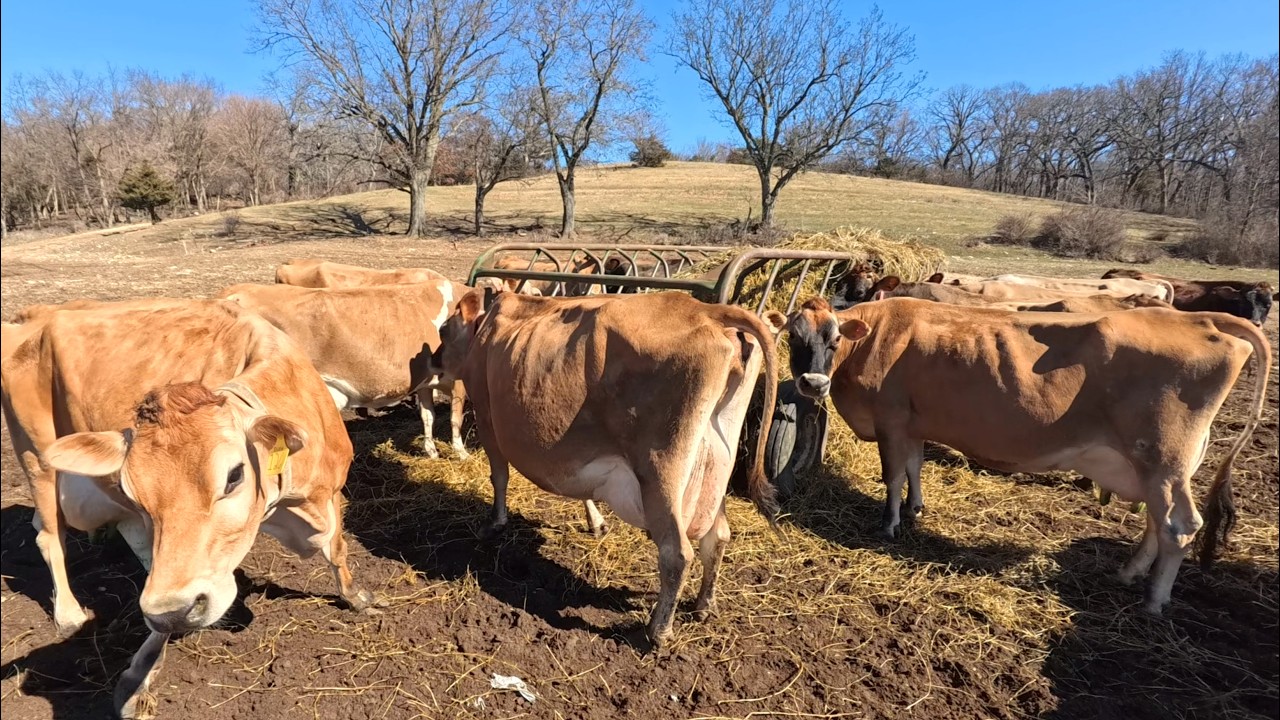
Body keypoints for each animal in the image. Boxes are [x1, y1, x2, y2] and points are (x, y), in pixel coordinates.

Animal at [1, 298, 377, 718]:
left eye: (234, 476)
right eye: (134, 492)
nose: (173, 612)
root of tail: (33, 315)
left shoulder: (332, 490)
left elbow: (337, 548)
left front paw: (356, 597)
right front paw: (139, 677)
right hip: (35, 456)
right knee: (49, 536)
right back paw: (68, 615)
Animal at [217, 280, 471, 459]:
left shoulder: (426, 382)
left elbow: (428, 416)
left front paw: (432, 451)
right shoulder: (459, 381)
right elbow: (455, 419)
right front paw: (462, 453)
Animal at [428, 290, 783, 646]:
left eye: (444, 330)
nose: (433, 361)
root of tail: (707, 311)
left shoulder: (487, 416)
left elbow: (499, 477)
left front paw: (494, 524)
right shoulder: (575, 452)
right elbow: (582, 488)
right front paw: (596, 522)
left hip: (661, 470)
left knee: (677, 552)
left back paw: (658, 630)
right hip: (716, 468)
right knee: (718, 537)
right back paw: (703, 606)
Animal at [775, 296, 1270, 616]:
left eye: (834, 339)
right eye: (792, 338)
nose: (812, 383)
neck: (880, 335)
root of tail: (1201, 318)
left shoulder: (891, 421)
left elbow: (893, 475)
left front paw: (890, 524)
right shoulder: (913, 425)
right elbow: (914, 468)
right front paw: (916, 509)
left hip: (1162, 458)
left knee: (1178, 526)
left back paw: (1153, 600)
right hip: (1158, 467)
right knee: (1155, 521)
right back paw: (1129, 573)